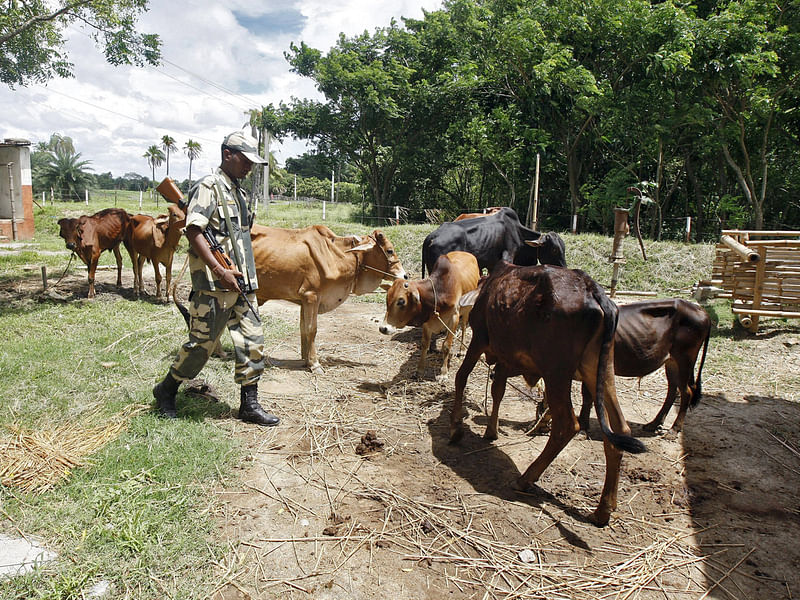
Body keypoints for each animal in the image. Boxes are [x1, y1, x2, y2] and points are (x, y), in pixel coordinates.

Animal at [252, 226, 406, 376]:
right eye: (390, 250)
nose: (405, 275)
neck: (336, 255)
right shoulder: (311, 296)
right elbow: (311, 329)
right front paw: (315, 364)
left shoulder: (304, 301)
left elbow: (303, 328)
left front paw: (306, 359)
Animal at [378, 251, 478, 382]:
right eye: (387, 299)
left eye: (401, 301)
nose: (383, 328)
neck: (439, 293)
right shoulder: (427, 323)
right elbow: (424, 344)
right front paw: (419, 371)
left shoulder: (454, 318)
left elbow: (446, 345)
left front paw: (443, 373)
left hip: (467, 310)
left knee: (465, 327)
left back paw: (461, 350)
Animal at [422, 206, 564, 276]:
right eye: (554, 249)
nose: (563, 268)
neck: (519, 232)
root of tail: (431, 237)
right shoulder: (508, 255)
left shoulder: (491, 264)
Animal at [454, 262, 648, 524]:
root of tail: (592, 289)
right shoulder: (505, 358)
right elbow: (498, 391)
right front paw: (491, 431)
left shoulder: (480, 339)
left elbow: (461, 377)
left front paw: (455, 429)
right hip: (601, 368)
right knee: (619, 430)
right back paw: (603, 509)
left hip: (556, 372)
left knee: (567, 425)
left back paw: (525, 479)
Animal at [576, 300, 712, 436]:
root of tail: (700, 309)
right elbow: (586, 396)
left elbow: (587, 397)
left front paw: (583, 428)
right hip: (672, 363)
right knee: (672, 391)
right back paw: (653, 424)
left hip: (685, 360)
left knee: (686, 392)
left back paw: (674, 429)